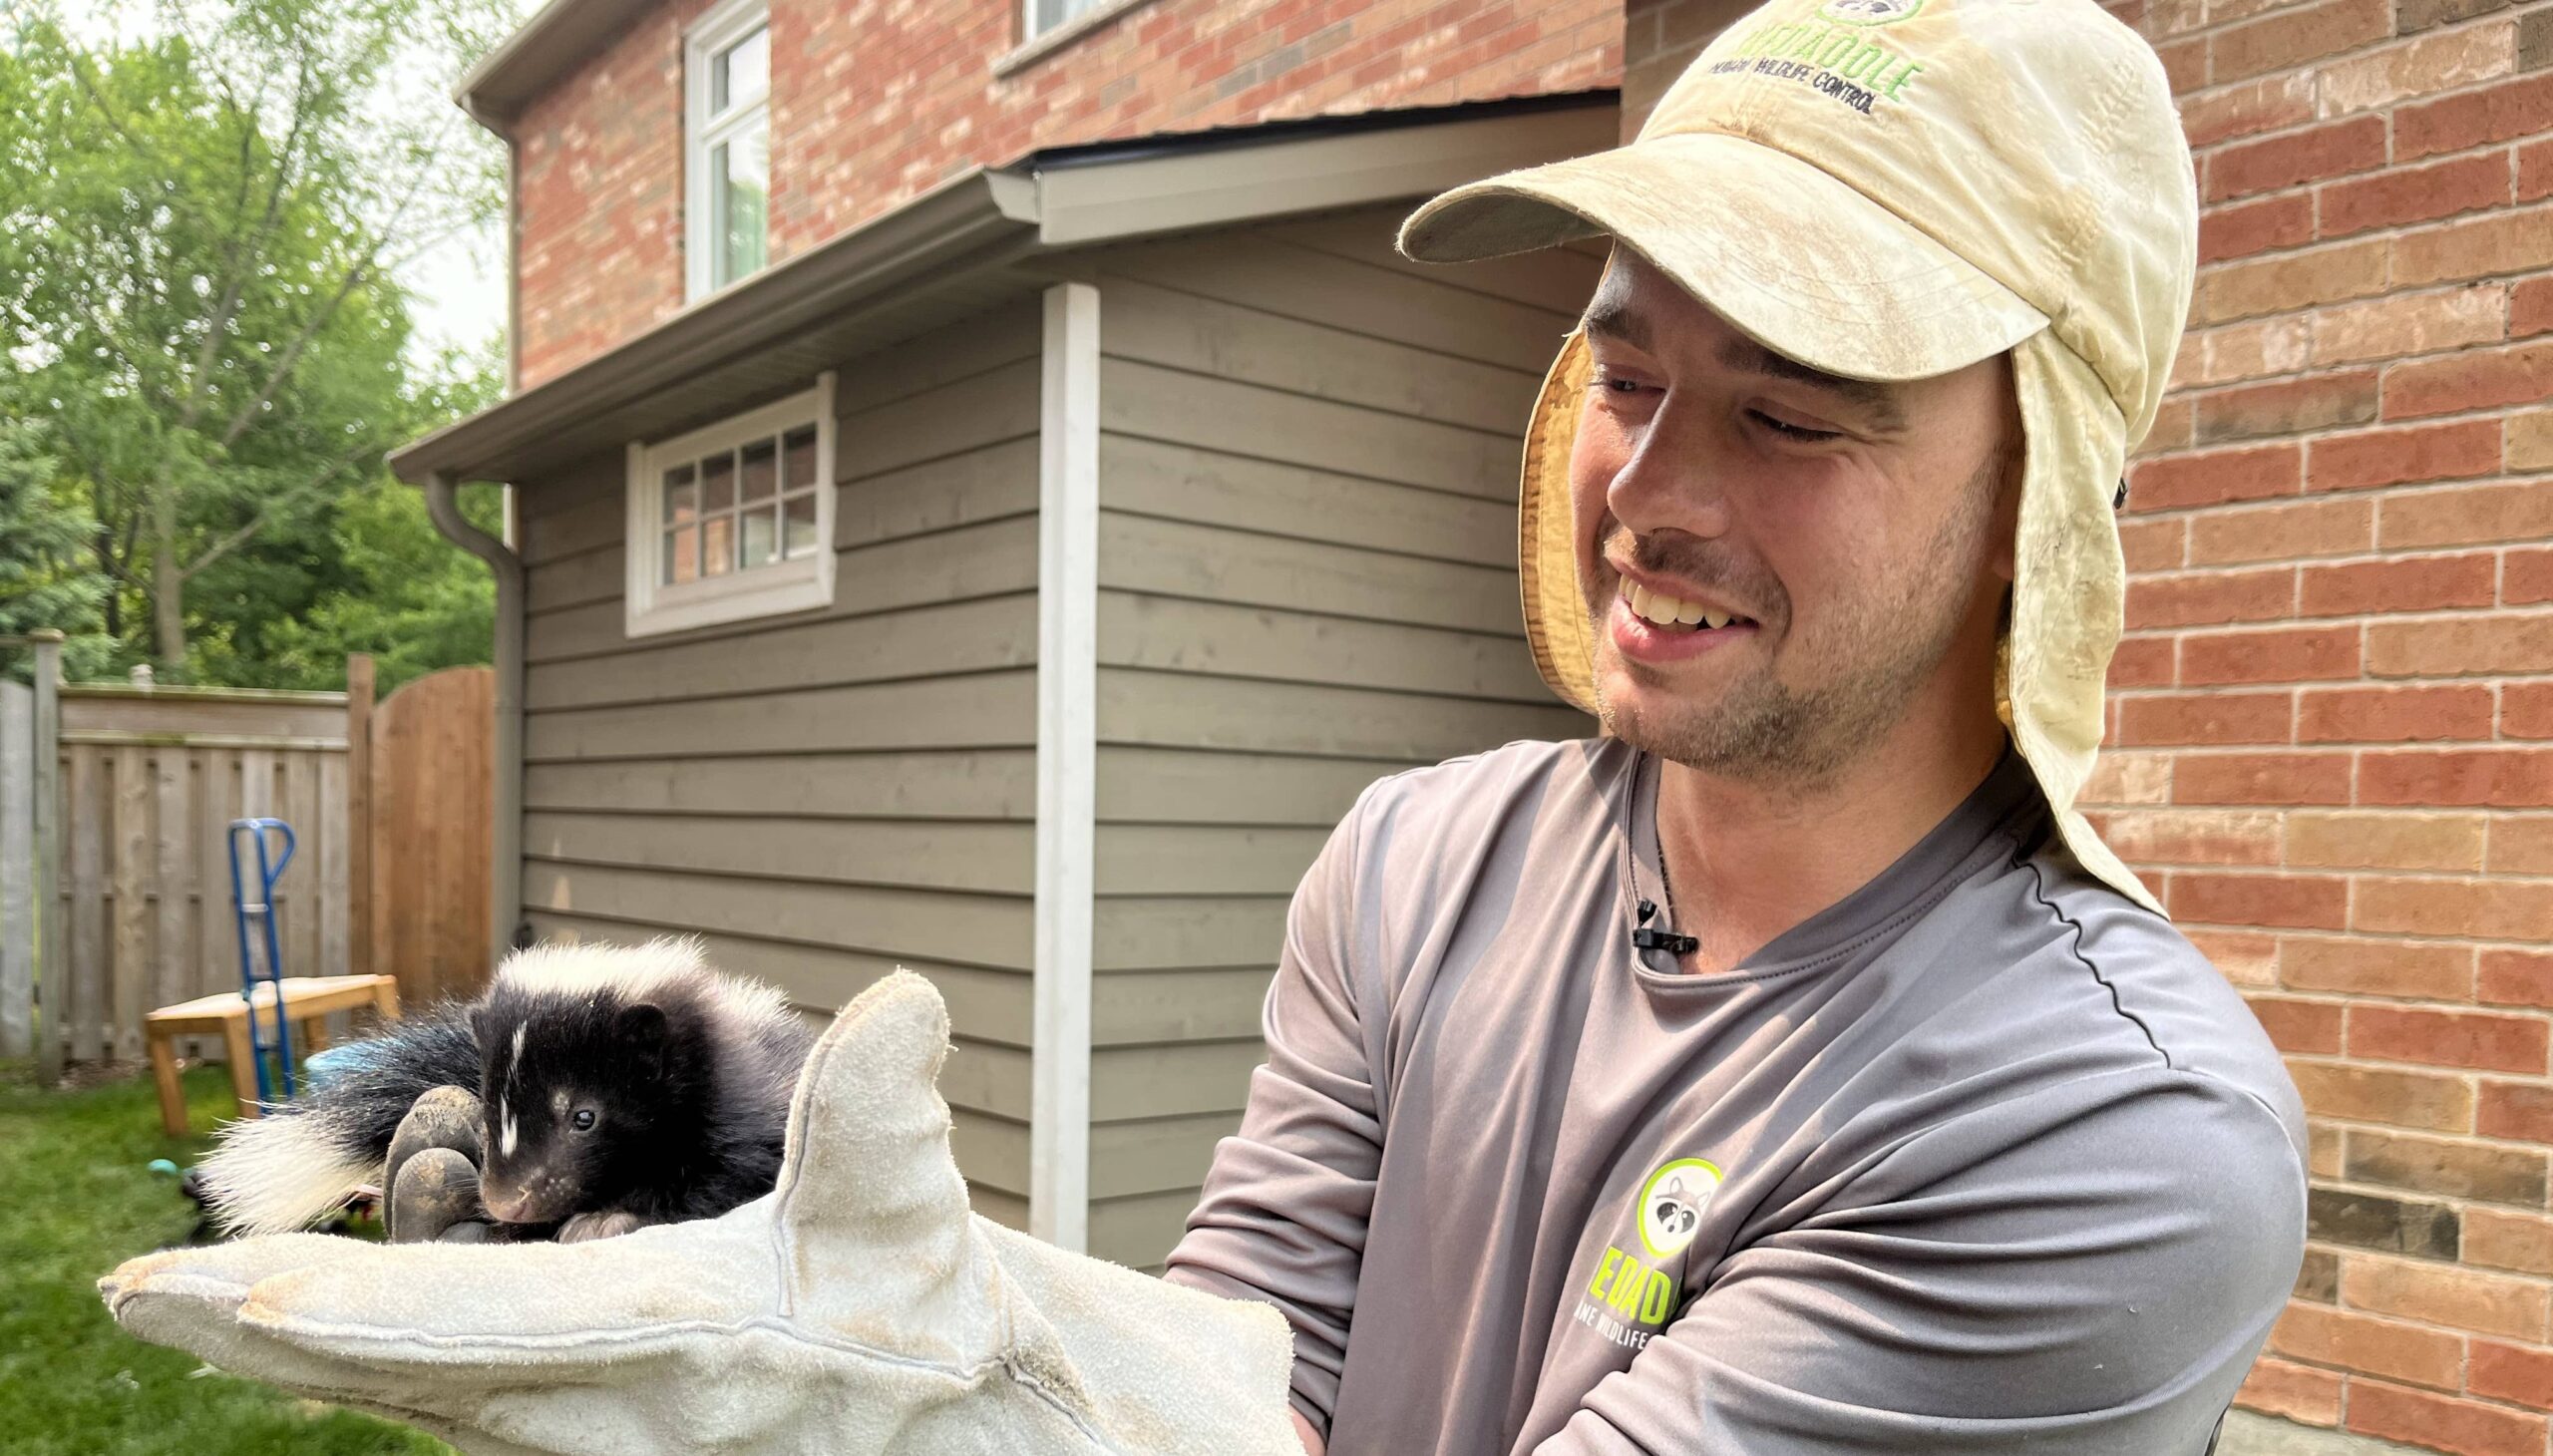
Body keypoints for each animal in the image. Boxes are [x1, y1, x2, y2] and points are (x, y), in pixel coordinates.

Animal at [202, 939, 812, 1236]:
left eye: (584, 1116)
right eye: (490, 1113)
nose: (507, 1203)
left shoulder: (744, 1118)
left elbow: (723, 1177)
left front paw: (609, 1218)